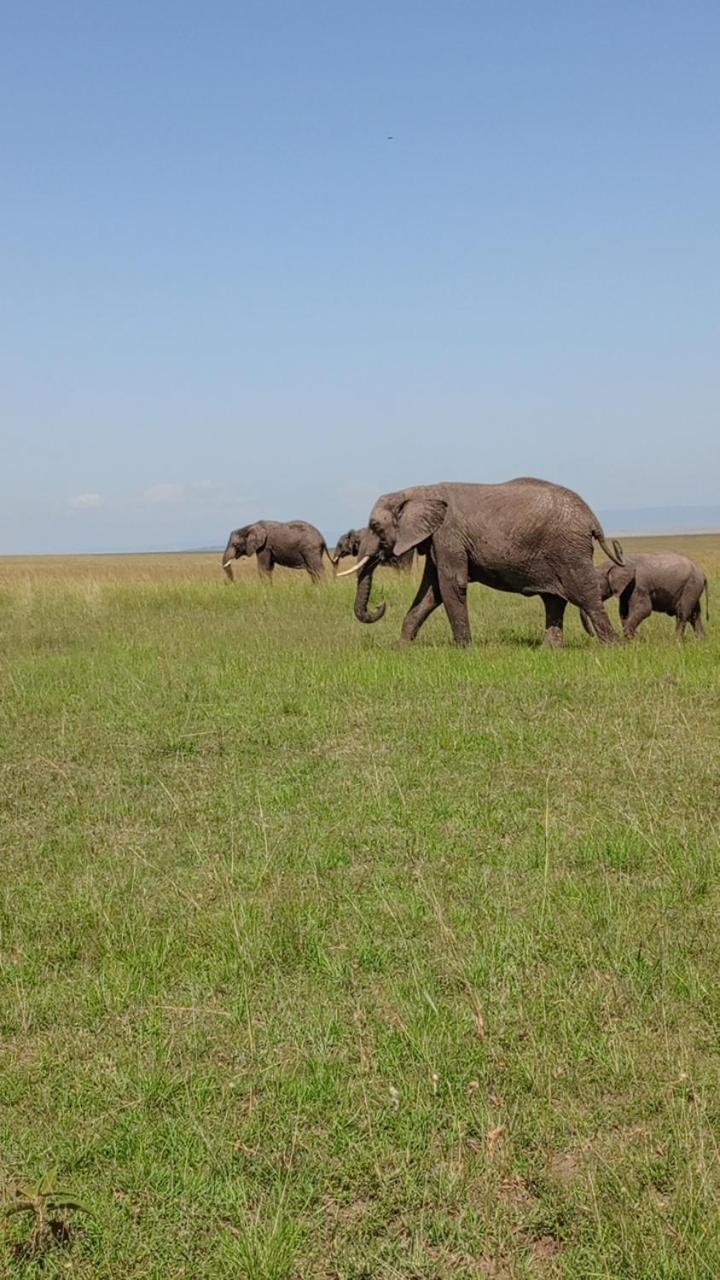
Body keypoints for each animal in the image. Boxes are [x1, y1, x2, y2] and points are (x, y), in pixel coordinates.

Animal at [335, 476, 622, 645]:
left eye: (375, 526)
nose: (380, 605)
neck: (418, 491)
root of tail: (592, 519)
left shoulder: (448, 535)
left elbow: (451, 585)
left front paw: (463, 650)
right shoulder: (437, 540)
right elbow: (431, 591)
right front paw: (403, 647)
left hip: (569, 551)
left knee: (585, 595)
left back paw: (612, 646)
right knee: (553, 600)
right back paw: (548, 650)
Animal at [576, 550, 707, 640]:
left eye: (595, 586)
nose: (592, 635)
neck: (616, 564)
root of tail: (703, 574)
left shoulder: (639, 585)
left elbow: (644, 609)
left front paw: (631, 638)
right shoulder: (626, 589)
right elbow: (624, 613)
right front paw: (634, 639)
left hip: (691, 586)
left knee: (682, 613)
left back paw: (676, 641)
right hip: (694, 588)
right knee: (695, 615)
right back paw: (701, 641)